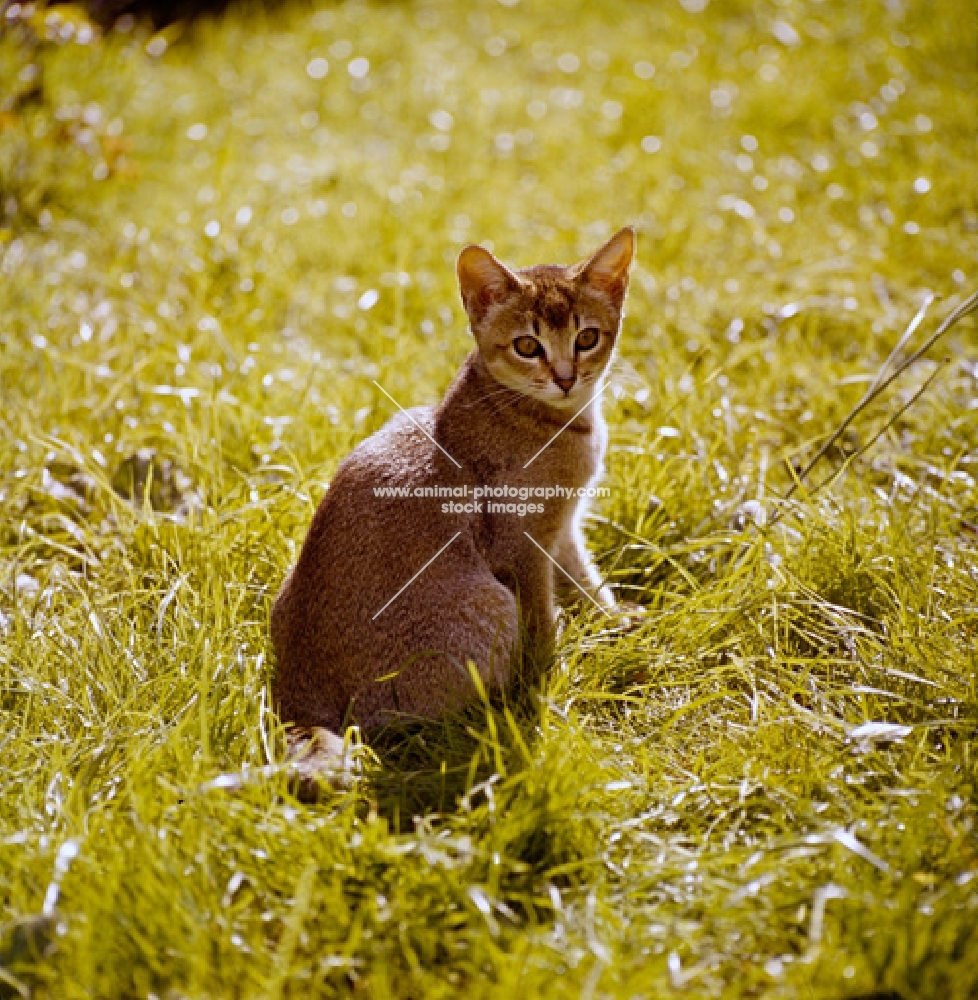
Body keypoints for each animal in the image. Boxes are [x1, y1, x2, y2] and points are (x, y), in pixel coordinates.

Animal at [268, 227, 632, 780]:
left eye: (587, 337)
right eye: (528, 346)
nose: (566, 377)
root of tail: (297, 694)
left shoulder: (564, 527)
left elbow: (586, 580)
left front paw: (617, 623)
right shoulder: (523, 545)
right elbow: (542, 616)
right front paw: (549, 675)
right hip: (488, 602)